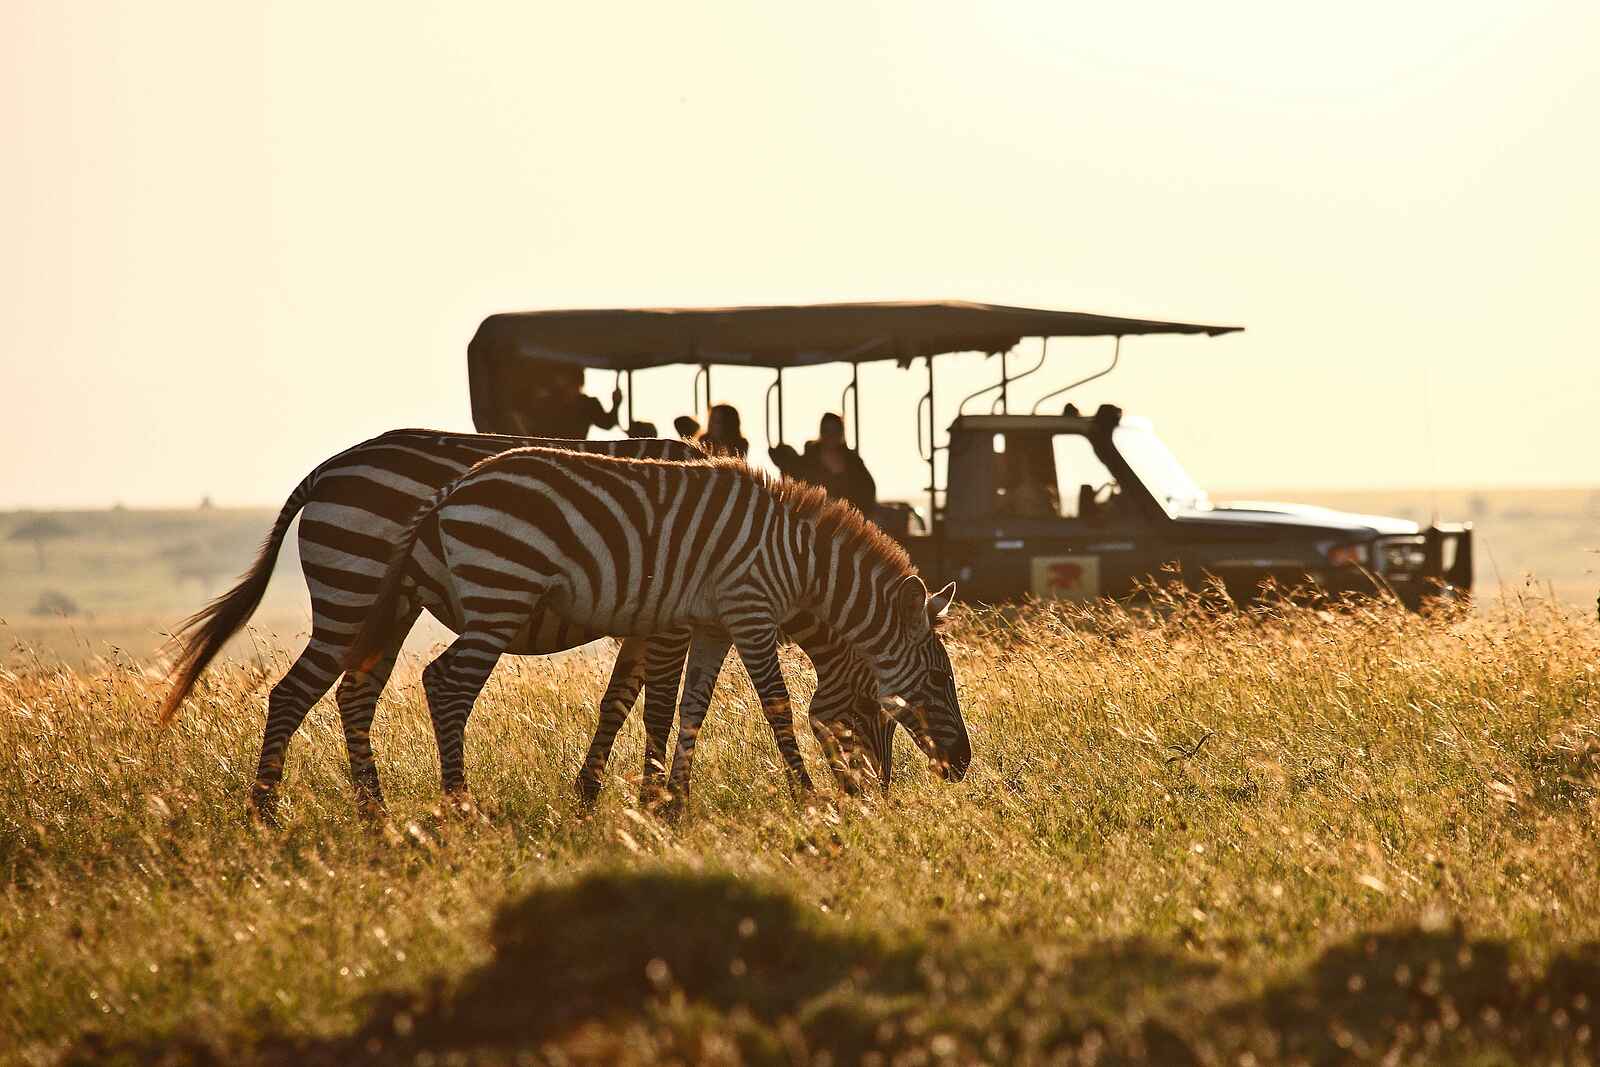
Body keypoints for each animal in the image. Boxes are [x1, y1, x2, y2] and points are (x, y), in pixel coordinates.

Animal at [157, 429, 891, 822]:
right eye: (882, 705)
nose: (880, 795)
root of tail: (327, 468)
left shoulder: (648, 617)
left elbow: (618, 700)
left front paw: (593, 794)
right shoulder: (669, 619)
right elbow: (655, 705)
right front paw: (650, 797)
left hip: (388, 608)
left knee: (352, 694)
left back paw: (376, 816)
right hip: (355, 588)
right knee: (295, 693)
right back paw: (267, 814)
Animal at [344, 447, 972, 801]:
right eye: (941, 680)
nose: (963, 766)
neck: (799, 561)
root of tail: (450, 489)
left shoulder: (713, 625)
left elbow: (693, 706)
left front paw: (675, 803)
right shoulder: (749, 612)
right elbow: (776, 705)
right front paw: (806, 797)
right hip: (502, 592)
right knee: (446, 683)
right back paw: (459, 806)